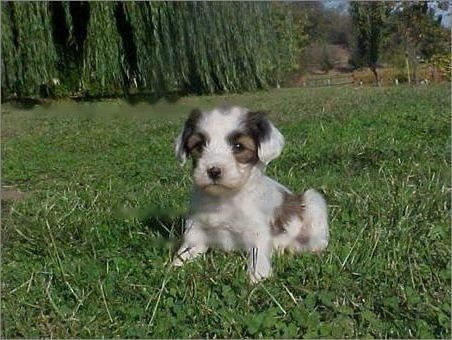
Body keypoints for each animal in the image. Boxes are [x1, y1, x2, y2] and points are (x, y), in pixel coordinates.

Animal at [173, 106, 328, 282]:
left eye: (239, 146)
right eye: (199, 146)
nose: (213, 171)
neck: (224, 198)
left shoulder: (258, 232)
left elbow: (257, 255)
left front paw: (257, 276)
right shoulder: (196, 230)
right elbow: (184, 253)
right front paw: (174, 266)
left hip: (313, 199)